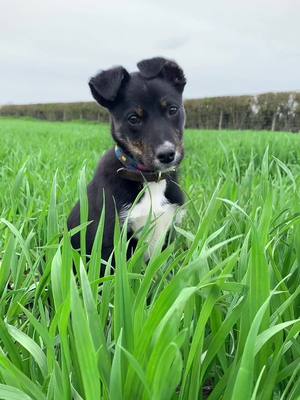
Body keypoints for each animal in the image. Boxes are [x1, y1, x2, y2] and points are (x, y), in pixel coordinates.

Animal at [67, 56, 186, 268]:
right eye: (133, 118)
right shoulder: (109, 242)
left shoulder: (168, 234)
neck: (149, 179)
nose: (166, 155)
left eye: (173, 109)